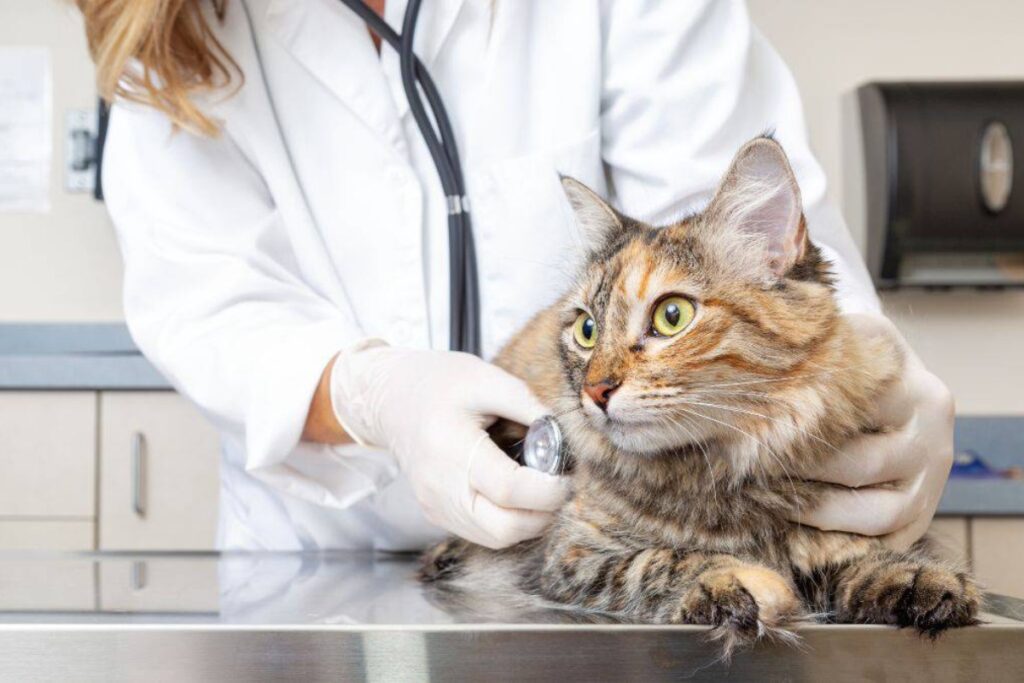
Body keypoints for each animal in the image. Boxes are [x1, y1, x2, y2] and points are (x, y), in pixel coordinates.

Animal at [419, 136, 978, 655]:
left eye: (672, 316)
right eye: (586, 330)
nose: (595, 390)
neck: (728, 469)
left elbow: (861, 555)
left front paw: (913, 576)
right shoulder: (571, 555)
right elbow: (661, 560)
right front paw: (738, 581)